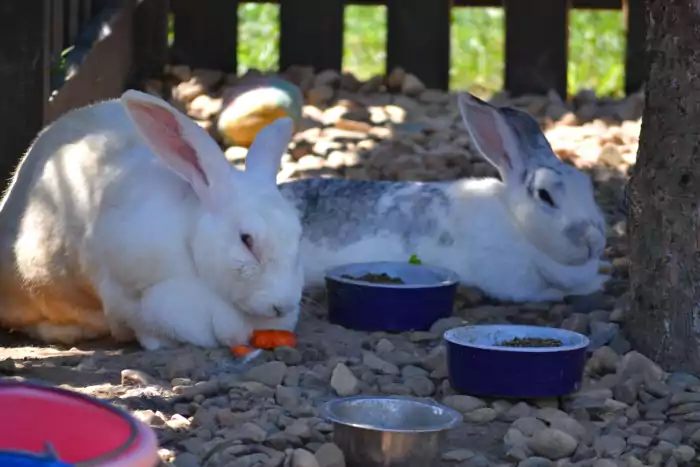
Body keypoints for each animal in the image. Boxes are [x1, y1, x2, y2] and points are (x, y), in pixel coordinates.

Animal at [278, 92, 611, 303]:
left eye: (587, 185)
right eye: (545, 196)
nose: (594, 241)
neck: (516, 223)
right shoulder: (516, 283)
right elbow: (553, 293)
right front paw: (598, 283)